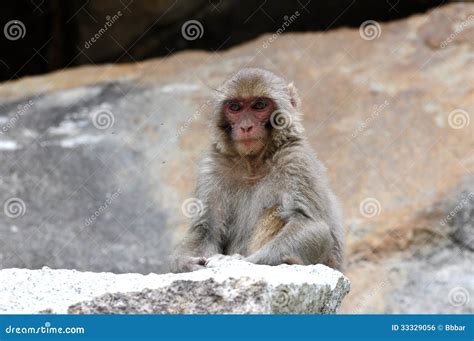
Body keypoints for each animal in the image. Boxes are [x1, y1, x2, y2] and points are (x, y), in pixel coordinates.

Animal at [170, 67, 344, 272]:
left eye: (259, 105)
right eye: (235, 107)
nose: (246, 126)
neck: (252, 164)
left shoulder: (295, 160)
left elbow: (312, 225)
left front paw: (241, 263)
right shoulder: (212, 166)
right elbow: (206, 229)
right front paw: (184, 263)